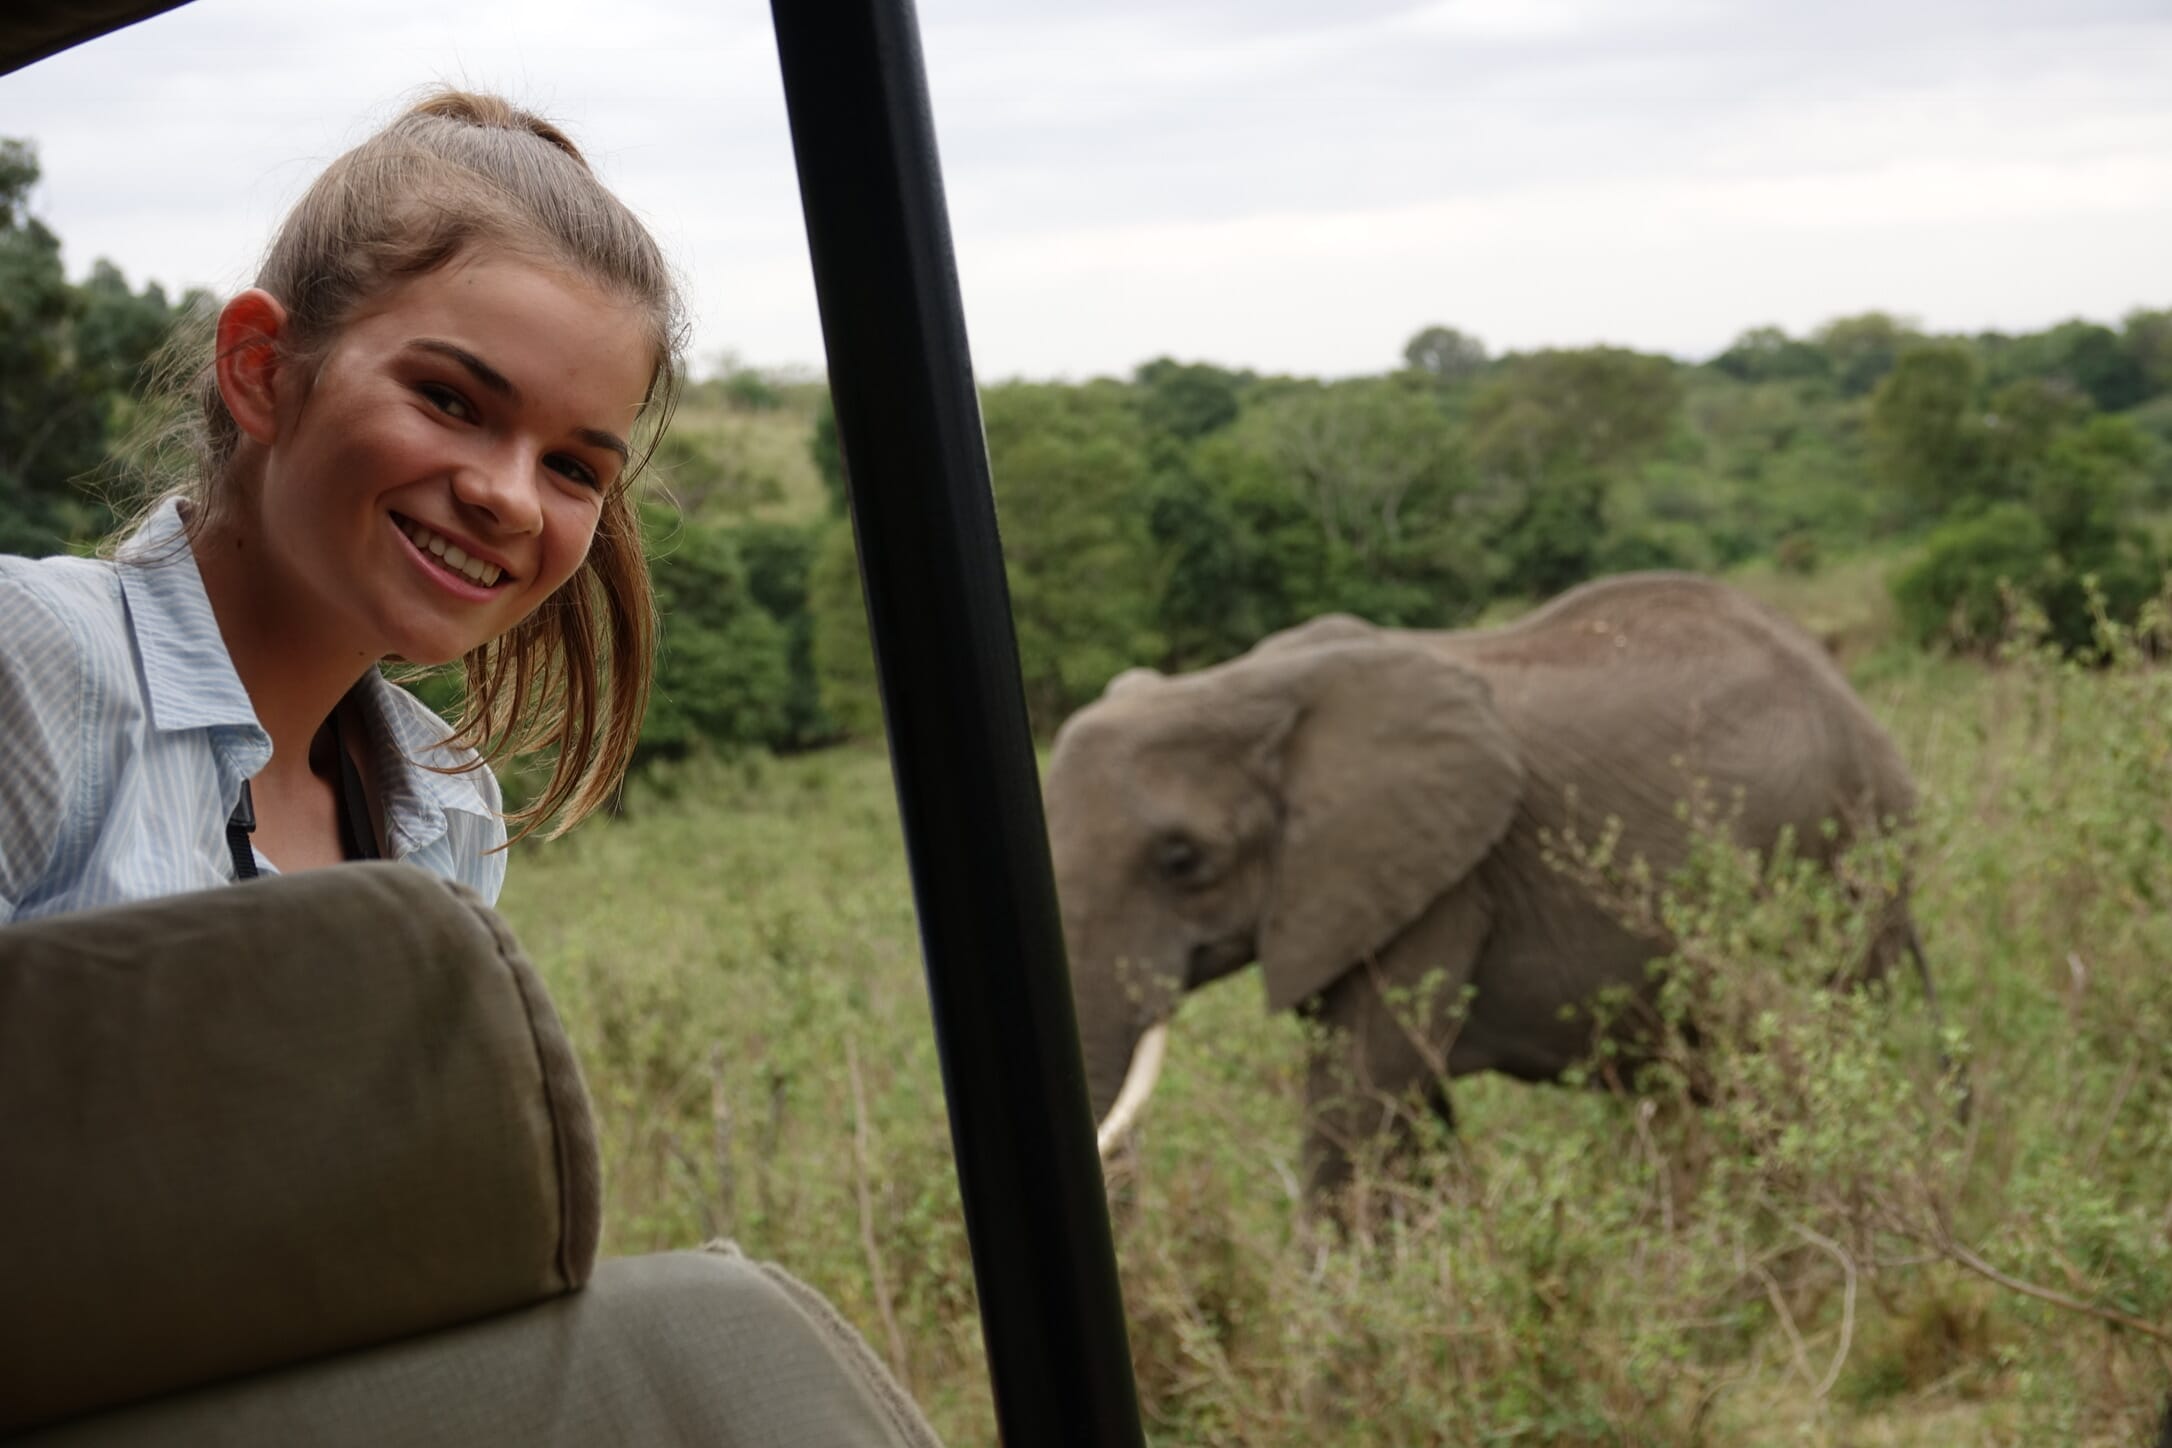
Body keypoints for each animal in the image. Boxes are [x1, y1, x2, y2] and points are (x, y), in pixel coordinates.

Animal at [1043, 571, 1922, 1201]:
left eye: (1182, 859)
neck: (1241, 685)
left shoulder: (1439, 879)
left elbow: (1360, 1097)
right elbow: (1403, 1099)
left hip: (1850, 841)